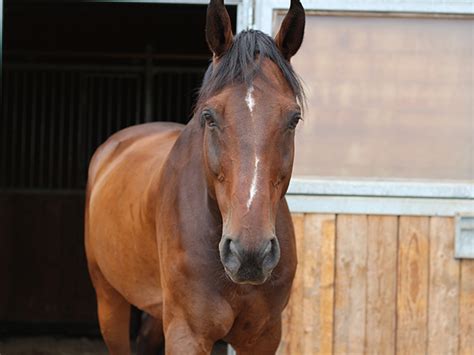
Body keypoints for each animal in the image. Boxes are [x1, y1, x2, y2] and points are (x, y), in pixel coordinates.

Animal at [84, 1, 308, 354]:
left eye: (293, 118)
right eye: (209, 116)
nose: (250, 253)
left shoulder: (264, 336)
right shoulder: (187, 334)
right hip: (109, 300)